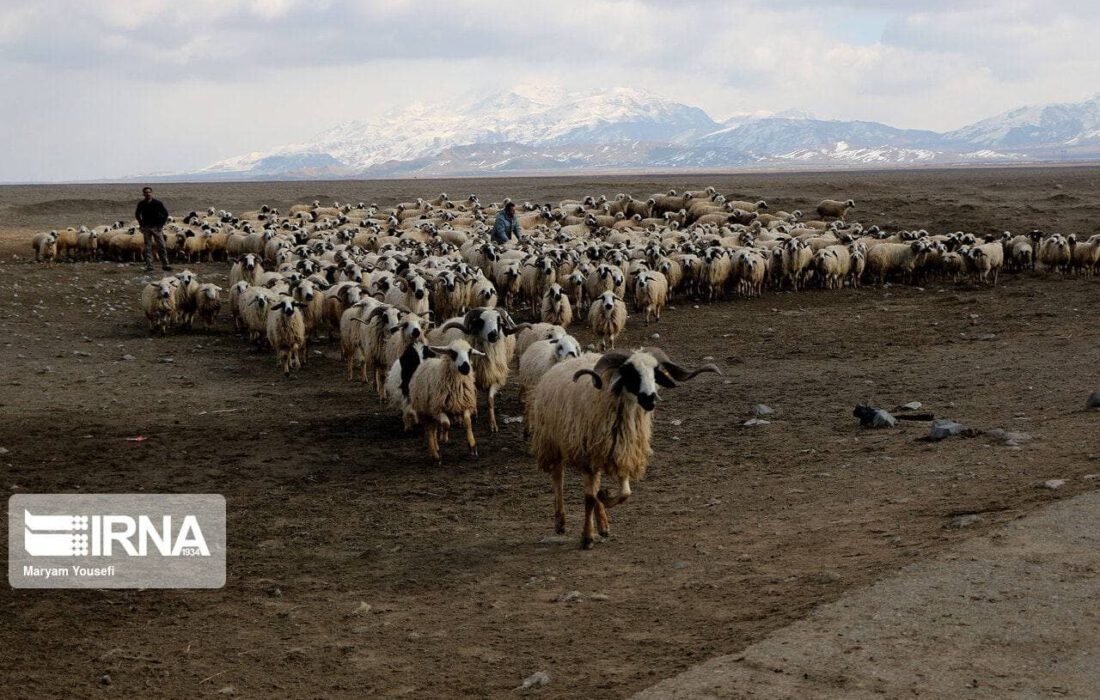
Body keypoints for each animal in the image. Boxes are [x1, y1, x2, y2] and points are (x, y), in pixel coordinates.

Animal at [525, 347, 717, 550]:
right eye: (631, 373)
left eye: (655, 373)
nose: (650, 399)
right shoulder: (588, 456)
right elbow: (588, 498)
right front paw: (587, 537)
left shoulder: (623, 452)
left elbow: (624, 493)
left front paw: (604, 498)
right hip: (552, 442)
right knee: (558, 479)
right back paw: (560, 522)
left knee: (593, 485)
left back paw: (603, 523)